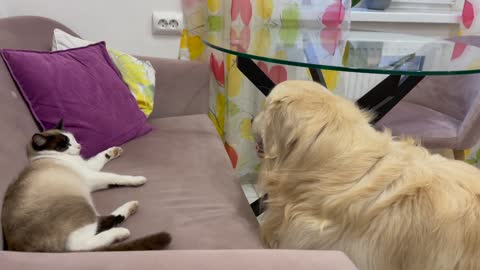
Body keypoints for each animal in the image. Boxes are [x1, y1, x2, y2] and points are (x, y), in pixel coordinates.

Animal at [0, 119, 171, 252]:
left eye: (73, 139)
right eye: (64, 144)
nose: (79, 147)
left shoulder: (89, 167)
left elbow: (101, 156)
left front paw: (115, 150)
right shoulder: (90, 176)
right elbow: (116, 176)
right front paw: (138, 179)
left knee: (102, 223)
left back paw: (131, 207)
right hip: (83, 207)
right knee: (80, 246)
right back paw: (122, 232)